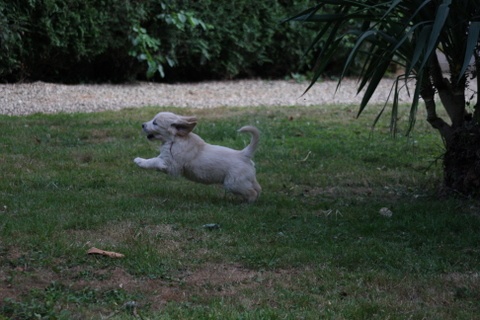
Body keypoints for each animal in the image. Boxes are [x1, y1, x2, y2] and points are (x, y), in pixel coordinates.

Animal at [134, 112, 262, 202]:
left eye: (155, 123)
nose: (142, 125)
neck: (174, 139)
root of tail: (244, 154)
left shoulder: (171, 165)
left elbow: (154, 161)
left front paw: (140, 161)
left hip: (233, 183)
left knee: (252, 192)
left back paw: (247, 203)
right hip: (246, 179)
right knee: (257, 188)